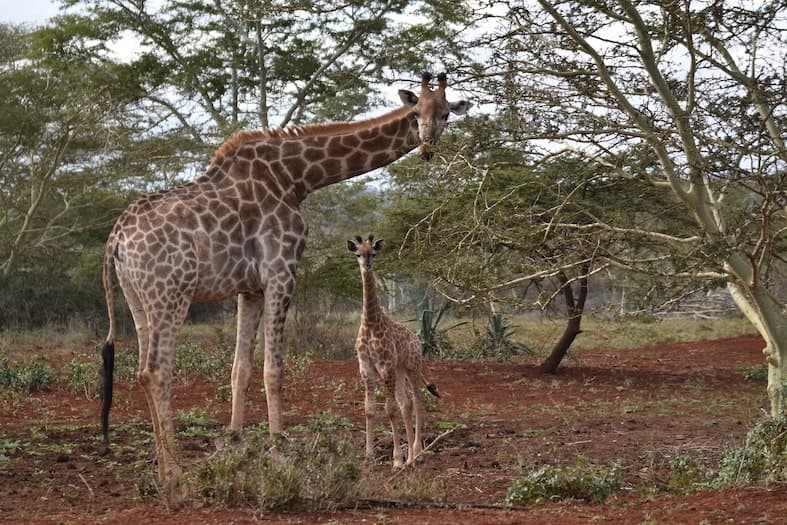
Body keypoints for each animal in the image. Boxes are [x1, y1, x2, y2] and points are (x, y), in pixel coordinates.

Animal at [347, 234, 440, 468]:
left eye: (373, 253)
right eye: (358, 254)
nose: (367, 266)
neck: (371, 323)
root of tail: (416, 338)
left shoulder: (385, 367)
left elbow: (390, 409)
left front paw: (397, 460)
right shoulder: (366, 369)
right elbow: (370, 410)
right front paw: (369, 455)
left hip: (412, 367)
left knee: (417, 402)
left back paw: (417, 453)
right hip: (399, 370)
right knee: (407, 403)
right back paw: (411, 456)